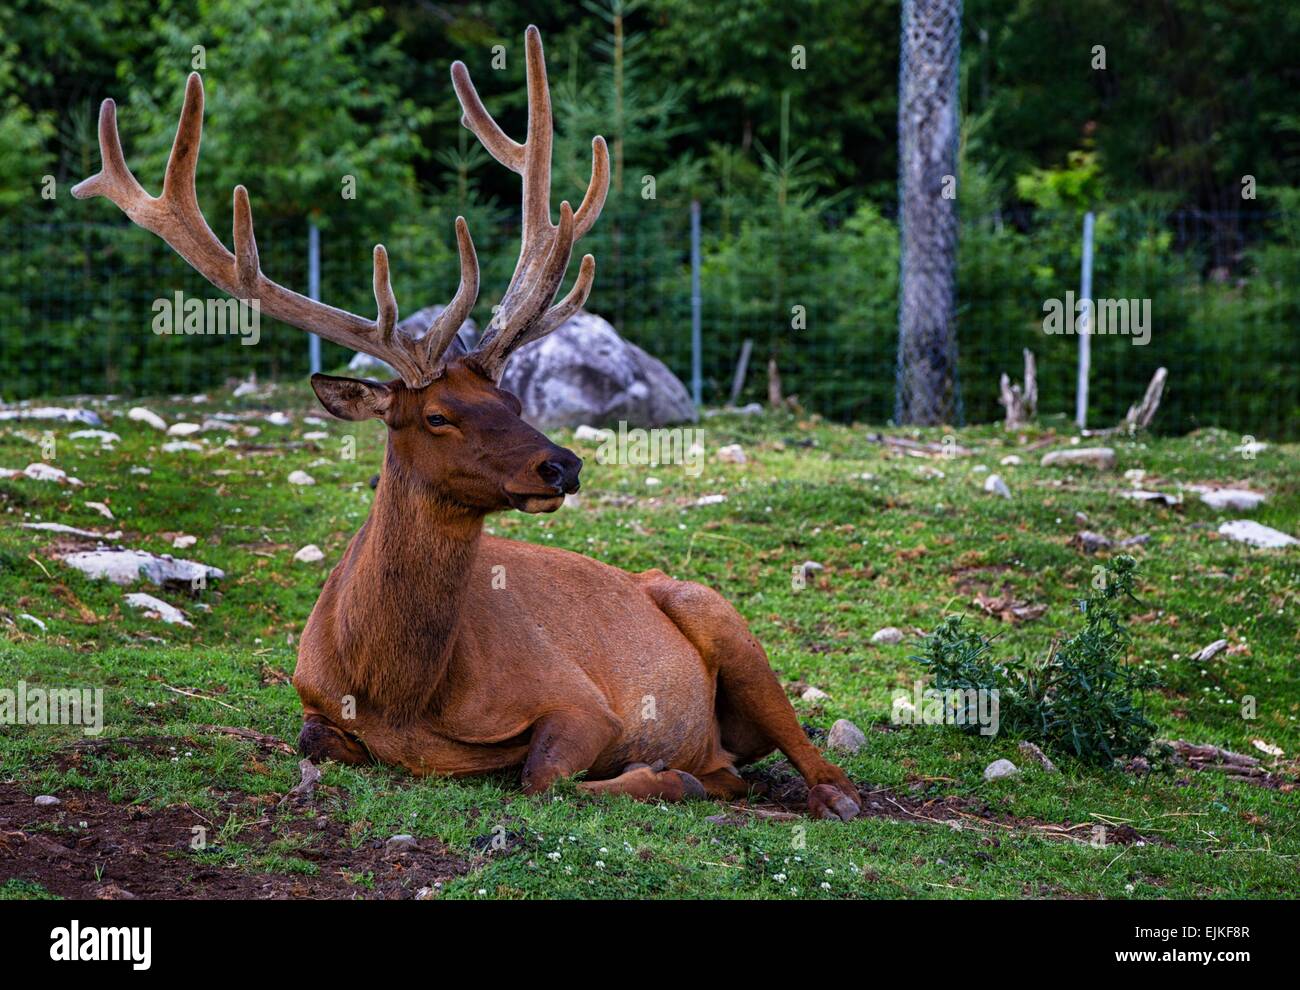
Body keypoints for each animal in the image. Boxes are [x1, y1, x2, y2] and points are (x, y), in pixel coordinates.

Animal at [72, 26, 863, 821]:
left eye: (513, 403)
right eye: (437, 415)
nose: (563, 465)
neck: (398, 693)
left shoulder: (583, 702)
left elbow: (540, 774)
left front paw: (664, 777)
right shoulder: (312, 698)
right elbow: (314, 738)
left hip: (721, 616)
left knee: (809, 754)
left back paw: (823, 794)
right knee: (734, 764)